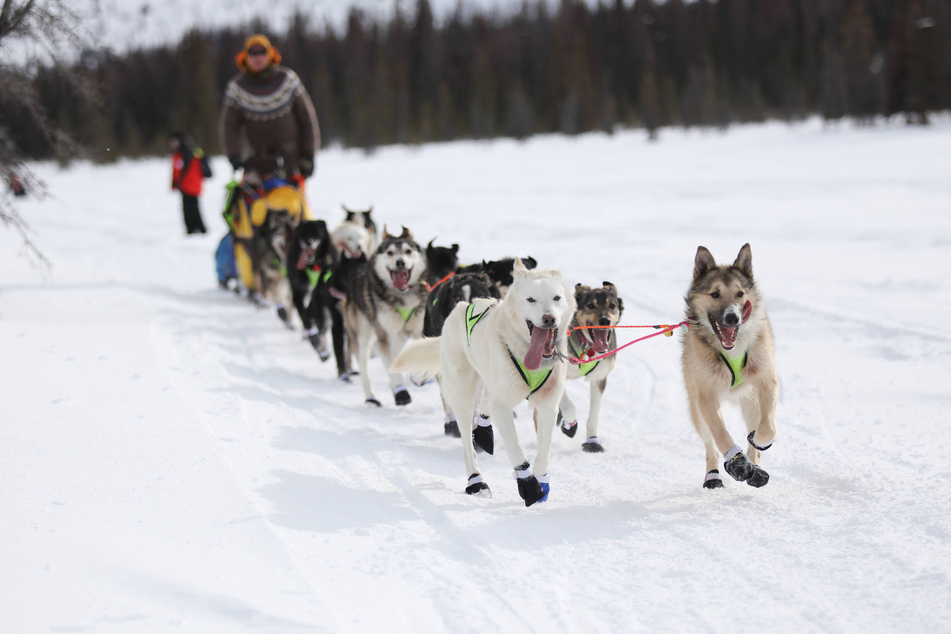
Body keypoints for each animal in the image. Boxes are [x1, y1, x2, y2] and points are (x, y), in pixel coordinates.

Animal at [344, 226, 430, 404]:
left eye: (408, 251)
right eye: (390, 252)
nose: (400, 262)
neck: (403, 295)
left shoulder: (419, 330)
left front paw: (418, 375)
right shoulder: (385, 336)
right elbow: (391, 366)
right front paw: (401, 391)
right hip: (362, 336)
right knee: (364, 366)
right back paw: (371, 397)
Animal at [392, 254, 572, 506]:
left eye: (557, 297)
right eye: (531, 299)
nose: (549, 318)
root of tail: (460, 309)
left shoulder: (547, 403)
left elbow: (544, 451)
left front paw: (541, 480)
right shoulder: (503, 405)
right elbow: (516, 449)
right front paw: (529, 486)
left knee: (485, 402)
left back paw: (485, 433)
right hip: (464, 394)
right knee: (468, 442)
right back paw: (476, 480)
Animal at [556, 280, 624, 450]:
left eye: (612, 305)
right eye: (591, 305)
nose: (605, 320)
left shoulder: (599, 378)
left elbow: (593, 415)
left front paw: (592, 441)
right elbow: (568, 407)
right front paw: (570, 424)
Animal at [684, 242, 780, 488]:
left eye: (740, 293)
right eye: (715, 294)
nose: (732, 317)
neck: (733, 350)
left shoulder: (766, 381)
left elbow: (767, 428)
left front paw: (758, 443)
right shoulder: (706, 396)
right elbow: (720, 434)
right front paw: (738, 463)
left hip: (752, 401)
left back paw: (756, 467)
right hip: (697, 409)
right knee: (710, 446)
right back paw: (713, 475)